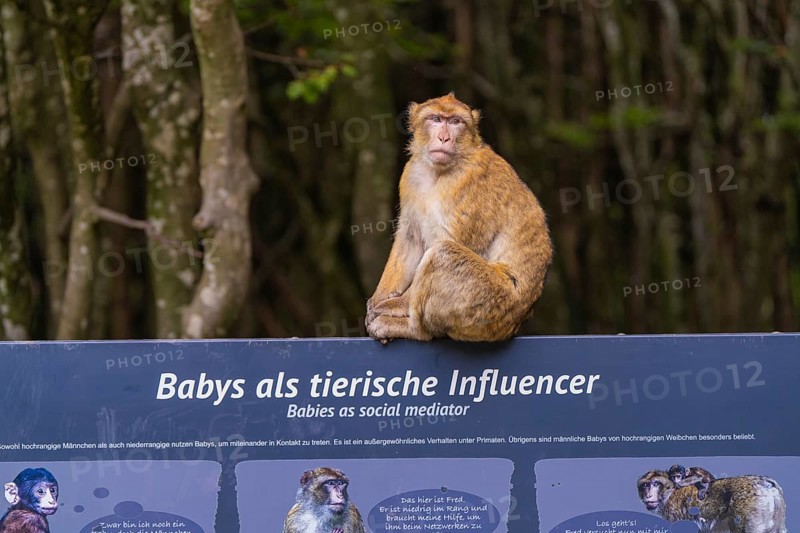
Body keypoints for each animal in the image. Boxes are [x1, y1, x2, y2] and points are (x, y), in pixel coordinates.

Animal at [365, 93, 553, 343]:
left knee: (443, 254)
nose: (444, 137)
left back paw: (413, 329)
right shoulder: (410, 174)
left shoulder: (470, 182)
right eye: (436, 119)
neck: (438, 172)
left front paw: (394, 305)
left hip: (489, 305)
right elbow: (410, 239)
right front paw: (378, 300)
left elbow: (450, 243)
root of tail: (517, 321)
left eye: (455, 122)